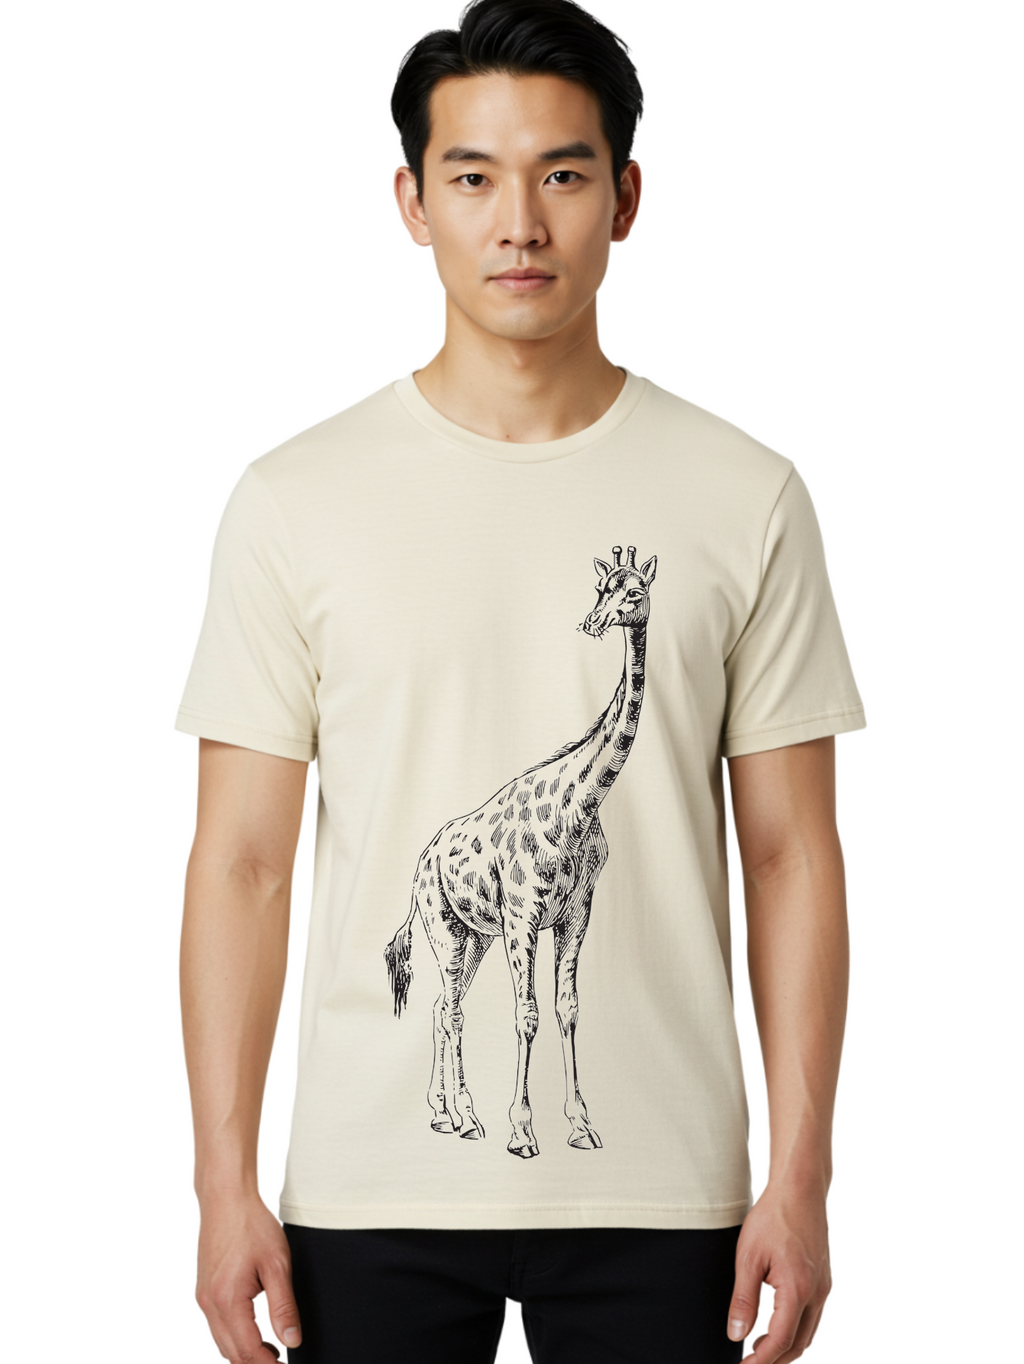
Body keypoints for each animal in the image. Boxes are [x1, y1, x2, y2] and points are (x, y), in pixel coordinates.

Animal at [384, 544, 656, 1159]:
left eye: (632, 593)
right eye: (602, 590)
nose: (594, 622)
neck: (579, 803)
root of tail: (419, 867)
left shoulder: (575, 913)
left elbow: (567, 1009)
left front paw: (580, 1125)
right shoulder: (522, 916)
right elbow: (526, 1015)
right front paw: (522, 1128)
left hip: (473, 938)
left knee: (441, 1008)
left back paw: (443, 1113)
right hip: (446, 929)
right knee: (453, 1010)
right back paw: (467, 1117)